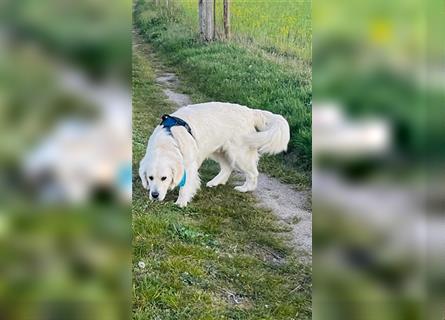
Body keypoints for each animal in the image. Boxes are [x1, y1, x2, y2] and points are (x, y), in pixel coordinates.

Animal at [140, 102, 292, 208]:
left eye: (164, 178)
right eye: (150, 178)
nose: (154, 195)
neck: (167, 142)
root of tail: (250, 111)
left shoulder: (189, 166)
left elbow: (185, 186)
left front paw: (181, 202)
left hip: (239, 154)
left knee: (252, 173)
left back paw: (245, 188)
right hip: (218, 150)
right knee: (227, 168)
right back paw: (215, 182)